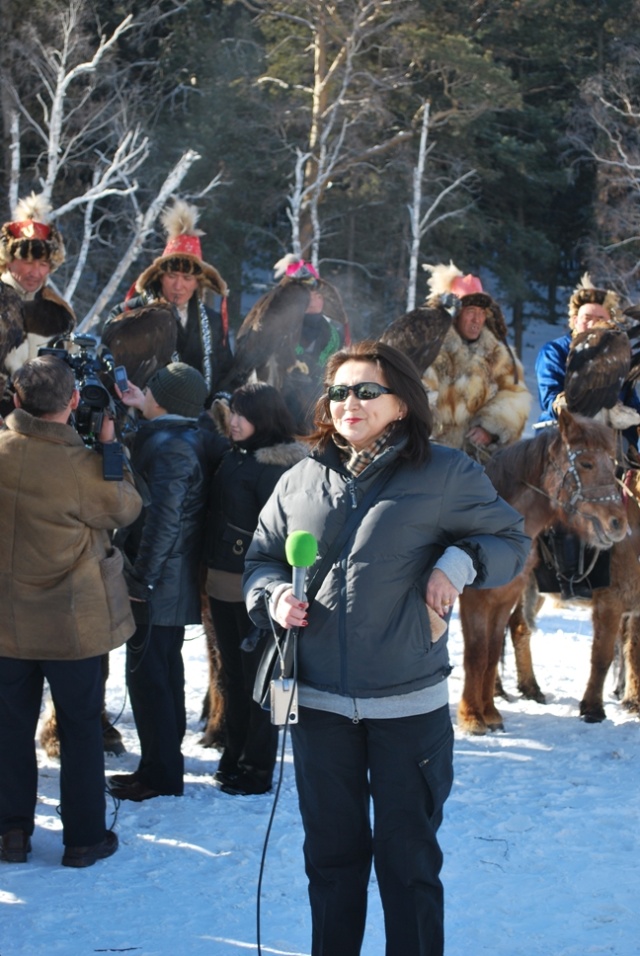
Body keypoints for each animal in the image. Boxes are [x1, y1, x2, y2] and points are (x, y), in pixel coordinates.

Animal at [502, 464, 640, 724]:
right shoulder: (609, 603)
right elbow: (602, 656)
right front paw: (592, 708)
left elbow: (633, 651)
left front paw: (633, 702)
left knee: (518, 626)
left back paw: (530, 688)